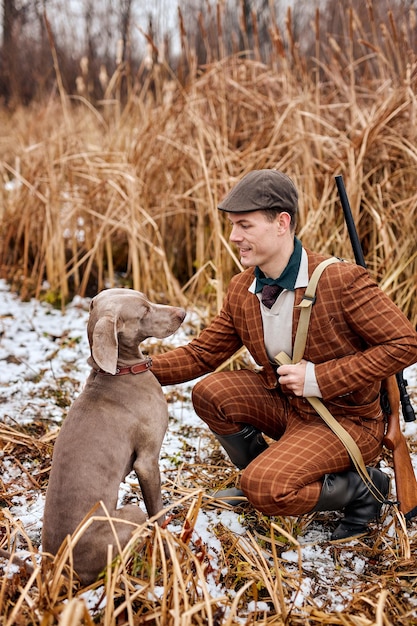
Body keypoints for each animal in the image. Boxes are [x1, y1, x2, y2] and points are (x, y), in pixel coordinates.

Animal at [42, 288, 185, 584]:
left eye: (147, 299)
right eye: (144, 311)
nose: (183, 313)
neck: (120, 371)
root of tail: (61, 566)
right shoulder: (147, 461)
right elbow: (157, 511)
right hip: (132, 514)